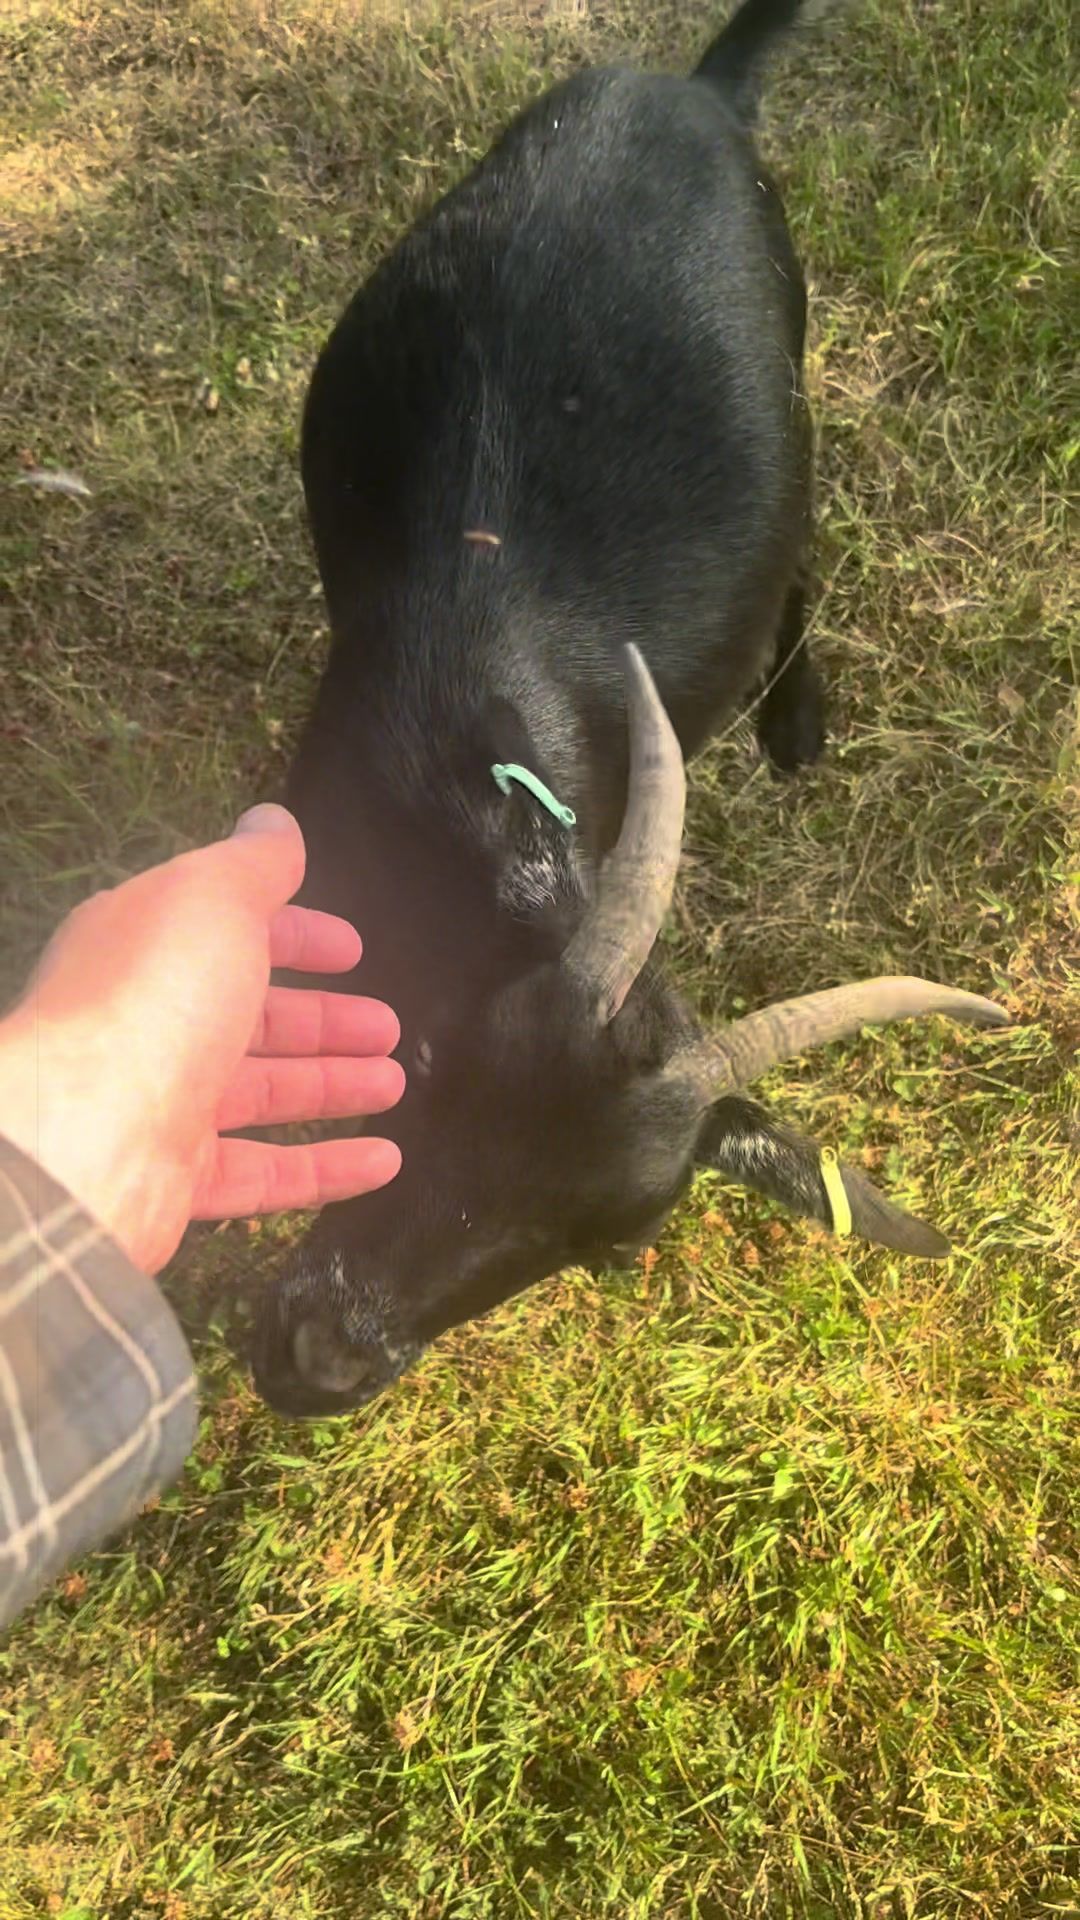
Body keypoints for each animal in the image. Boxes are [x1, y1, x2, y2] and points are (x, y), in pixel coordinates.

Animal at [252, 0, 1007, 1417]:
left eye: (608, 1247)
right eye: (427, 1067)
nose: (317, 1360)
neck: (479, 765)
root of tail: (696, 91)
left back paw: (796, 726)